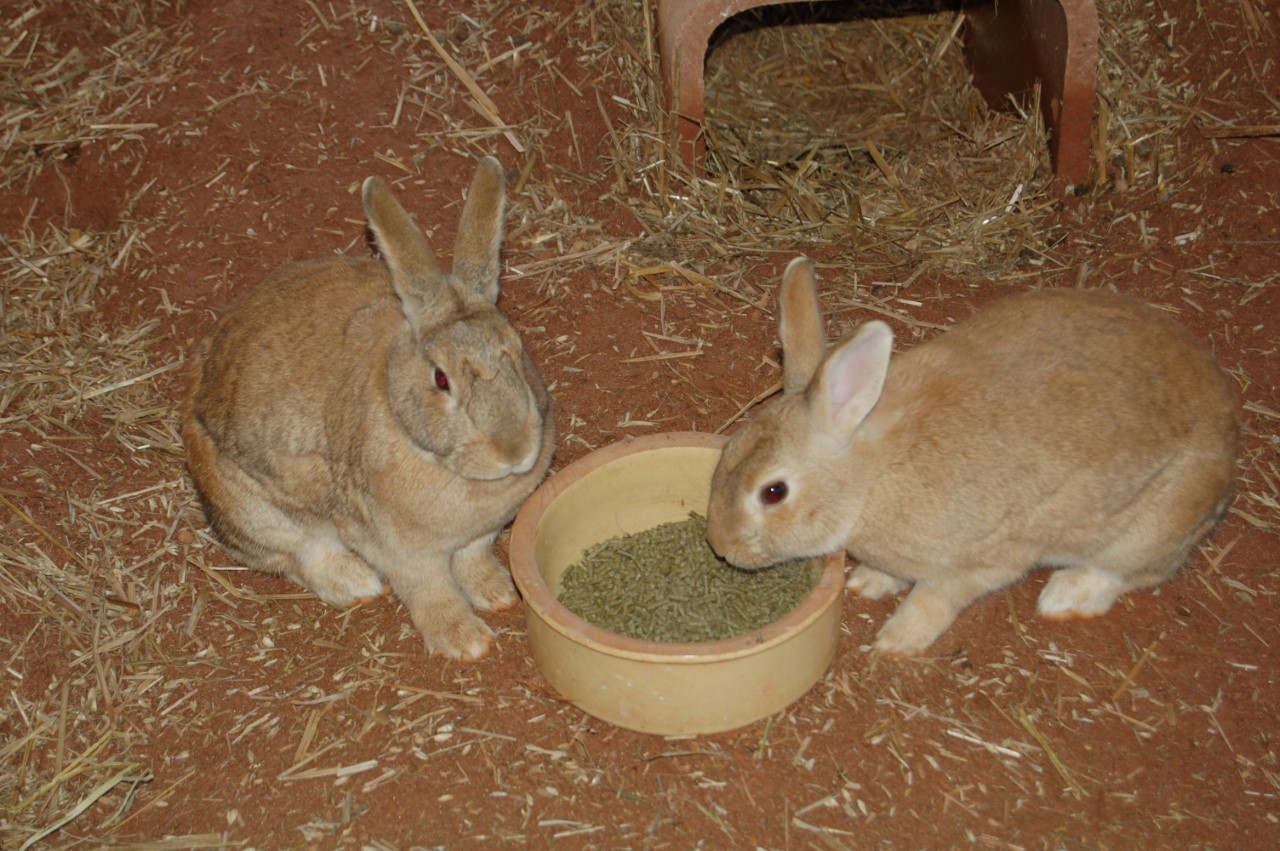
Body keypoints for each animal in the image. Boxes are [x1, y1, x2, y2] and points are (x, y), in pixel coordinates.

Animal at [182, 157, 554, 660]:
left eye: (517, 350)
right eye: (441, 379)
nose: (513, 451)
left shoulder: (478, 535)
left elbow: (472, 556)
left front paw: (498, 593)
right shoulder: (397, 549)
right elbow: (429, 589)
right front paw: (465, 642)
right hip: (254, 510)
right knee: (296, 555)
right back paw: (357, 583)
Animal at [706, 257, 1240, 655]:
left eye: (774, 492)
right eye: (727, 452)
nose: (720, 546)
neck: (872, 478)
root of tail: (1230, 439)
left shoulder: (987, 560)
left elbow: (936, 597)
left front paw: (895, 640)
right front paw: (867, 583)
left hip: (1148, 526)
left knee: (1133, 571)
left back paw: (1063, 595)